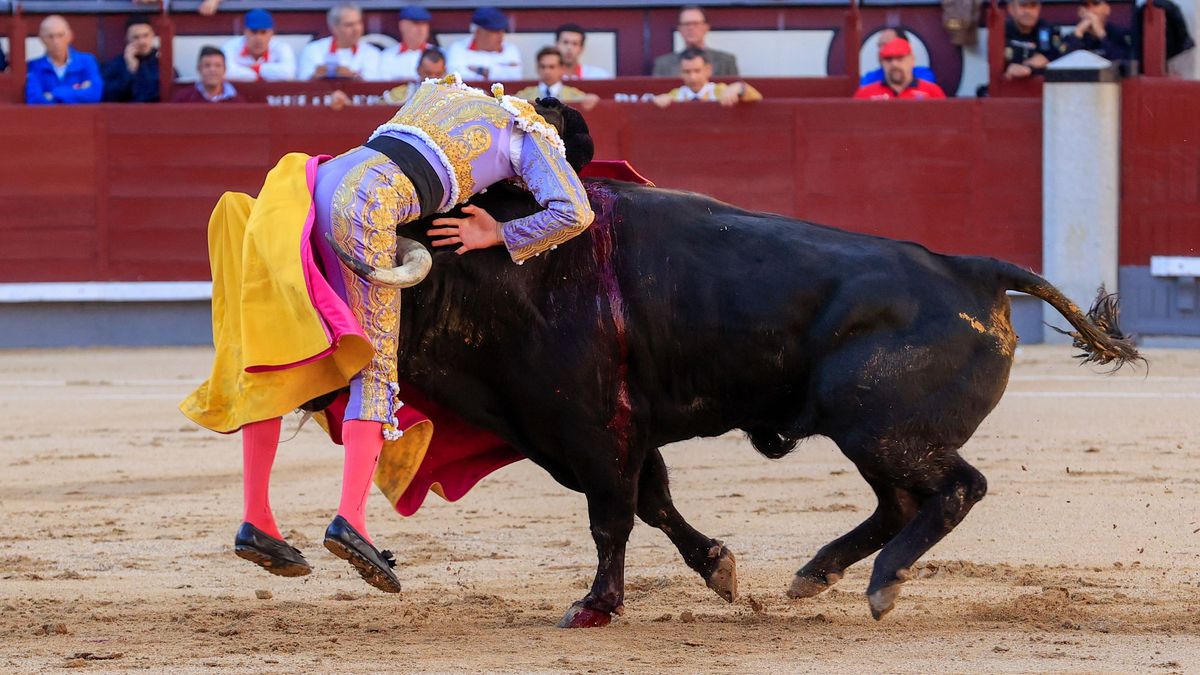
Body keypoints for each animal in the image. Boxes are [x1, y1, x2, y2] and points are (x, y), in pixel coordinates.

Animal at [374, 176, 1132, 624]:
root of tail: (971, 268)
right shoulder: (604, 435)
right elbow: (654, 503)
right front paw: (720, 570)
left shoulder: (596, 430)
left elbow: (611, 518)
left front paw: (595, 605)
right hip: (874, 434)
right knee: (900, 502)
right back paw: (816, 574)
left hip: (879, 428)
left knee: (958, 487)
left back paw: (883, 582)